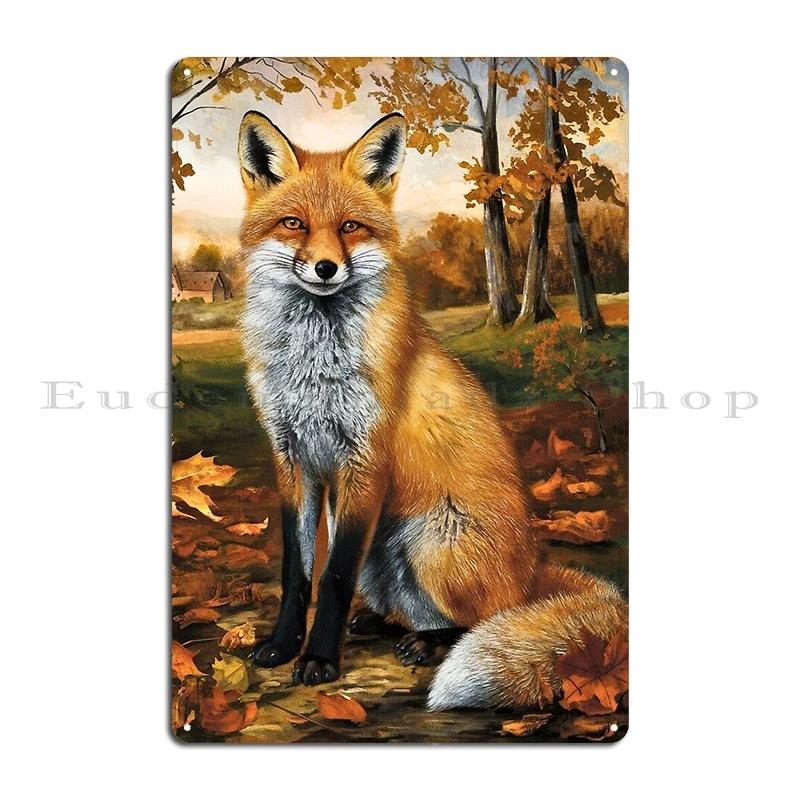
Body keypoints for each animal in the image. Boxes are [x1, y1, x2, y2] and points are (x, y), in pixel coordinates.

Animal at [237, 109, 627, 710]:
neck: (314, 363)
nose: (326, 268)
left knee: (481, 619)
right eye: (293, 224)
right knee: (409, 610)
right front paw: (282, 646)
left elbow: (333, 577)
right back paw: (381, 624)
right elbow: (298, 573)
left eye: (350, 227)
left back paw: (429, 643)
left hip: (431, 547)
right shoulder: (291, 457)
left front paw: (319, 660)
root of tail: (534, 573)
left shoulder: (365, 457)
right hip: (383, 561)